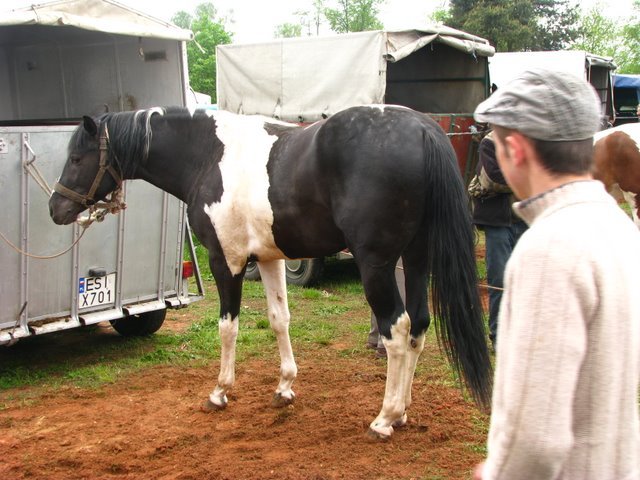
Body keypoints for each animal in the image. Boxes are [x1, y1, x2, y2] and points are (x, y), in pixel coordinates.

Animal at [48, 105, 490, 438]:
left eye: (76, 158)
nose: (56, 208)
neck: (209, 154)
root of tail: (423, 128)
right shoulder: (270, 258)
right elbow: (281, 320)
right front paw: (285, 387)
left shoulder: (225, 261)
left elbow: (228, 327)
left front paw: (220, 391)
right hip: (416, 259)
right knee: (418, 326)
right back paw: (403, 413)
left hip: (377, 266)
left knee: (396, 331)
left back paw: (385, 418)